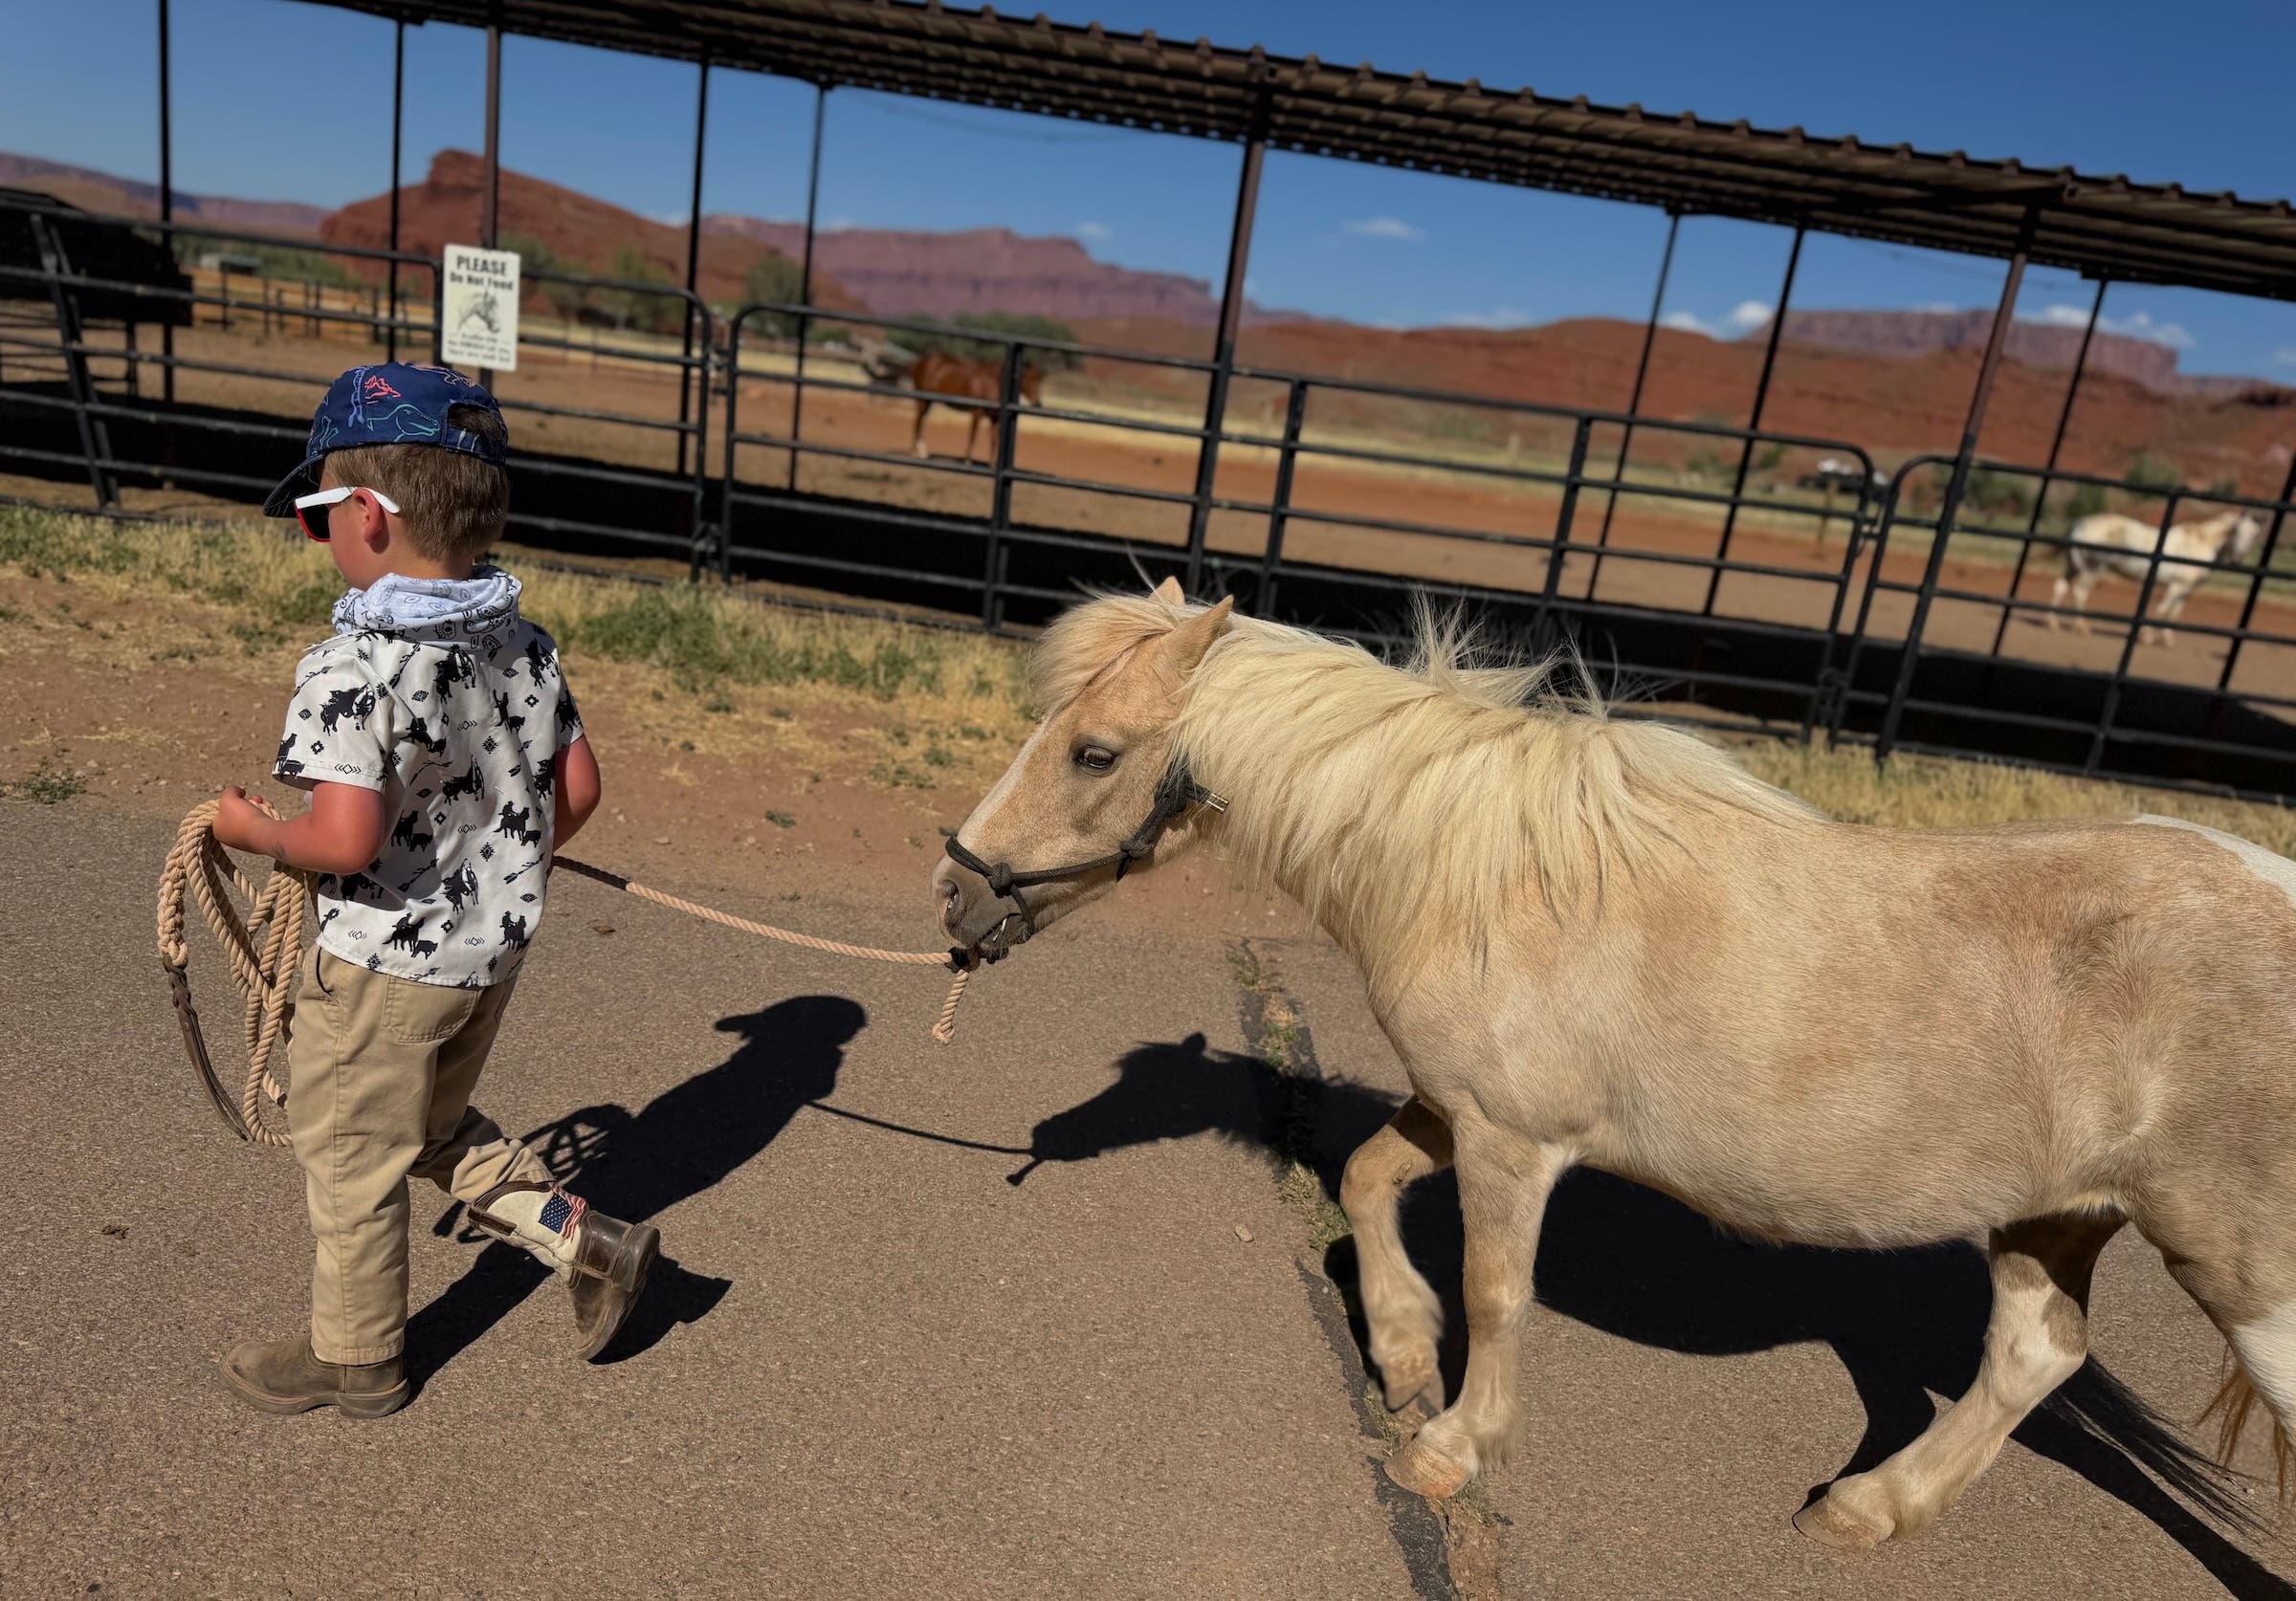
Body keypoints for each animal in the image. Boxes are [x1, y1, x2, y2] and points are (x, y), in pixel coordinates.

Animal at [903, 349, 1044, 463]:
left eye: (1039, 379)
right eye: (1027, 378)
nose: (1037, 403)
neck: (993, 382)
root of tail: (920, 361)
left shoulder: (995, 418)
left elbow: (994, 440)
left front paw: (992, 465)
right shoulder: (977, 412)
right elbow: (973, 436)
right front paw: (968, 460)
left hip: (928, 402)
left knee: (921, 421)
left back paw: (922, 452)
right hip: (922, 400)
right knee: (917, 422)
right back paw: (916, 452)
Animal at [931, 577, 2296, 1555]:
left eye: (1096, 753)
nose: (957, 891)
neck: (1490, 874)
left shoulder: (1513, 1139)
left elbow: (1496, 1291)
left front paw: (1450, 1448)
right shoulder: (1452, 1107)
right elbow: (1367, 1179)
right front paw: (1404, 1358)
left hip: (2244, 1279)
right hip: (2056, 1217)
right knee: (2031, 1358)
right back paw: (1868, 1510)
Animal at [2048, 508, 2267, 646]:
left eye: (2255, 536)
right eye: (2236, 531)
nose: (2237, 560)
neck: (2201, 544)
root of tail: (2082, 523)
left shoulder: (2186, 590)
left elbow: (2174, 614)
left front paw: (2167, 640)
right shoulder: (2176, 586)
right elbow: (2162, 610)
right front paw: (2147, 637)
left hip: (2073, 567)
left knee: (2061, 587)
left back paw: (2053, 623)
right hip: (2093, 569)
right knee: (2080, 593)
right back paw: (2081, 627)